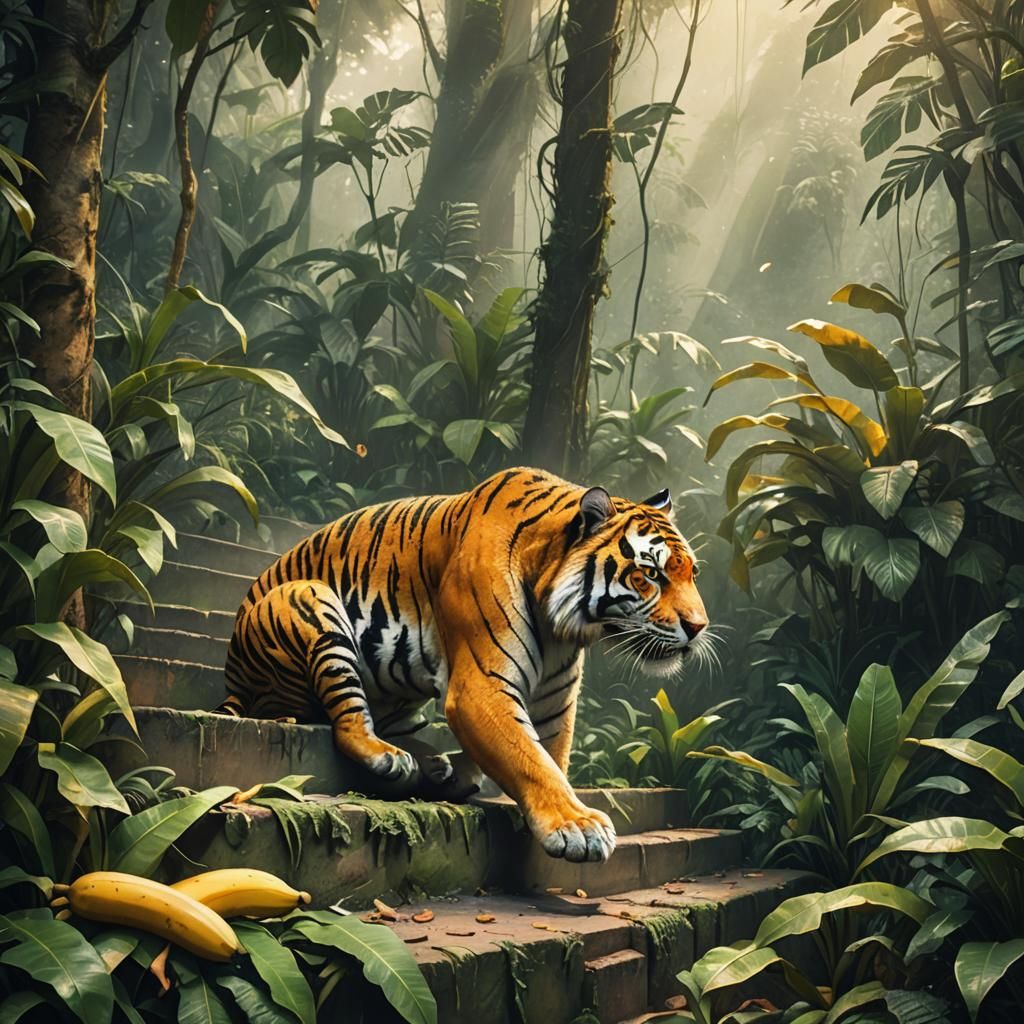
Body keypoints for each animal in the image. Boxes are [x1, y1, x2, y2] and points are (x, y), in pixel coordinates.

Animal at [216, 467, 710, 863]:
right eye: (649, 575)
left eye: (692, 573)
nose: (698, 626)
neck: (562, 627)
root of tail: (232, 677)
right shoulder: (481, 686)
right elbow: (530, 757)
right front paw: (577, 826)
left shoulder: (556, 700)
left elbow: (551, 755)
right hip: (312, 599)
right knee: (347, 722)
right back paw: (390, 757)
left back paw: (436, 766)